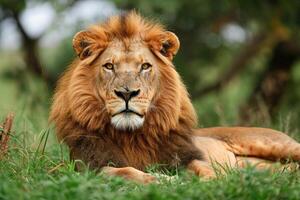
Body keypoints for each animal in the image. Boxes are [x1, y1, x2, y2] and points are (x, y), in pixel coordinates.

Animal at [49, 11, 300, 184]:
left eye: (145, 66)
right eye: (109, 66)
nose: (127, 93)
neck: (132, 136)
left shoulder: (186, 156)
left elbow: (204, 168)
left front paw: (210, 181)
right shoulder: (91, 166)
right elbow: (127, 172)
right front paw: (163, 180)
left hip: (275, 143)